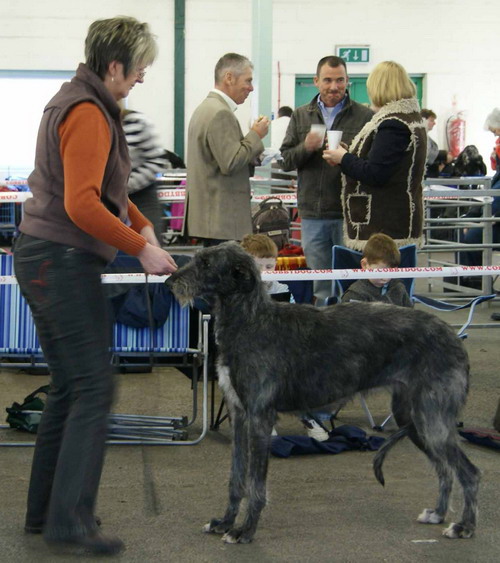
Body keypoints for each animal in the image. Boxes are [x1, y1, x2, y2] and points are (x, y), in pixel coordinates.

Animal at [167, 245, 480, 544]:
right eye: (198, 258)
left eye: (207, 263)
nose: (170, 281)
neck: (250, 321)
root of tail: (454, 337)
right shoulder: (240, 415)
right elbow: (236, 478)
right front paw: (224, 522)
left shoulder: (259, 418)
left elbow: (256, 484)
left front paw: (244, 531)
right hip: (413, 418)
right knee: (444, 469)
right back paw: (438, 513)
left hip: (433, 418)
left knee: (470, 472)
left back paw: (464, 527)